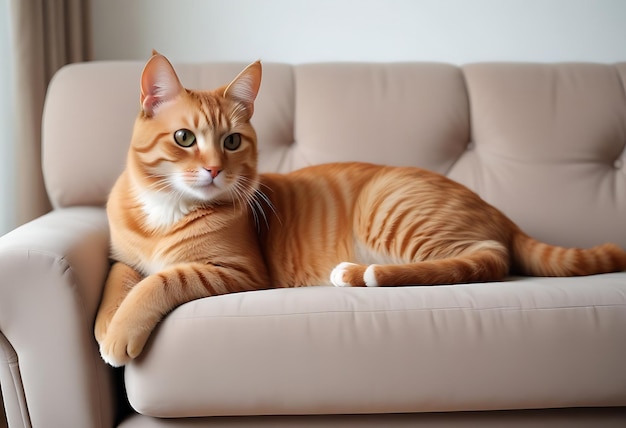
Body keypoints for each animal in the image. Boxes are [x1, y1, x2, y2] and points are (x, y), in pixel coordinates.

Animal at [94, 52, 624, 368]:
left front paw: (119, 331)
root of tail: (495, 208)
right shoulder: (125, 256)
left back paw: (360, 274)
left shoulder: (238, 270)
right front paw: (104, 322)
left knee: (485, 258)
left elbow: (163, 280)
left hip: (391, 210)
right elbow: (116, 280)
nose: (213, 170)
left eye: (232, 142)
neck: (166, 208)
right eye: (185, 138)